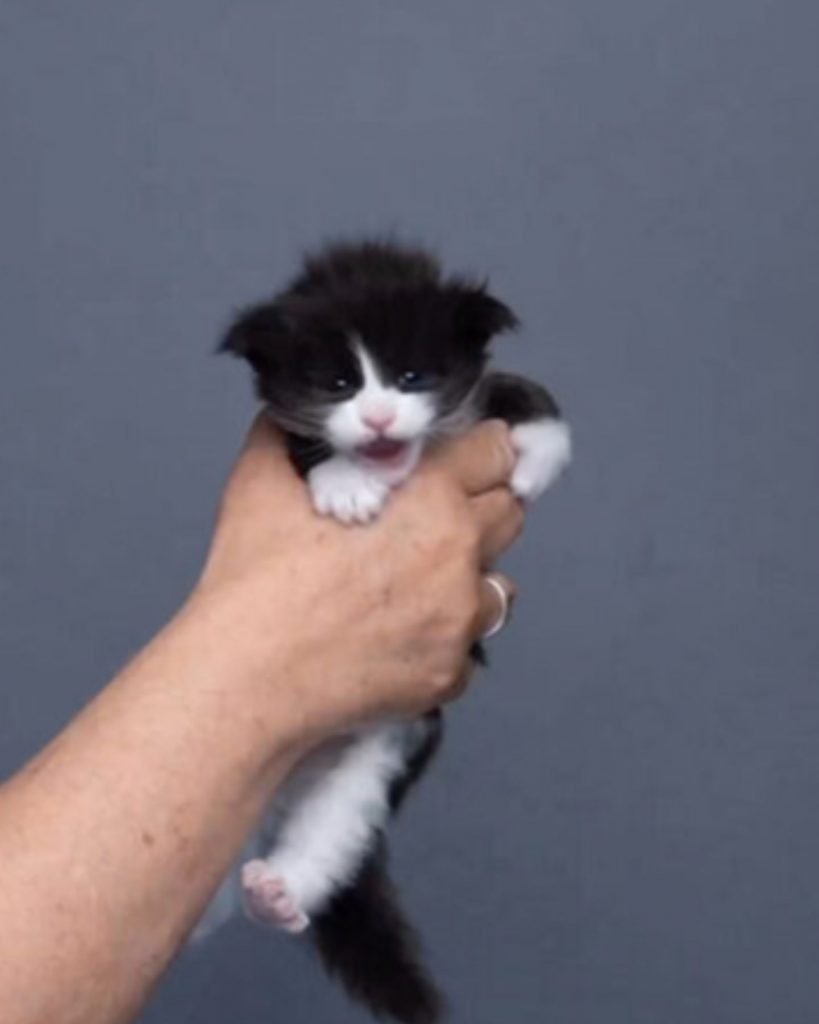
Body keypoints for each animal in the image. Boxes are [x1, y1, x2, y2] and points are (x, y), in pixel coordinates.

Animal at [203, 241, 573, 1024]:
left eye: (411, 377)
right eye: (340, 384)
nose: (375, 422)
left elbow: (526, 393)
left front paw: (533, 455)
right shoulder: (275, 436)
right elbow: (304, 446)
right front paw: (344, 482)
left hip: (378, 747)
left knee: (334, 830)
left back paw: (277, 891)